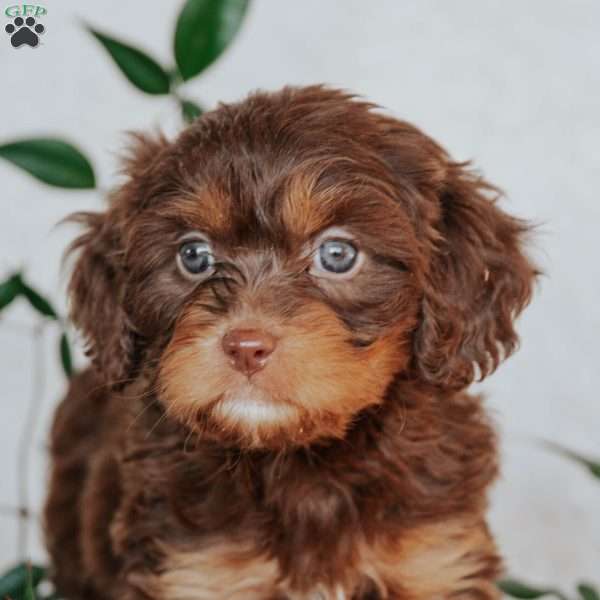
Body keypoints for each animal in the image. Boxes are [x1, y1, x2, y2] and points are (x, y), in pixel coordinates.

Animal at [44, 85, 536, 600]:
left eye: (338, 254)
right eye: (193, 255)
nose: (245, 346)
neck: (302, 462)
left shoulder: (435, 557)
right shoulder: (192, 568)